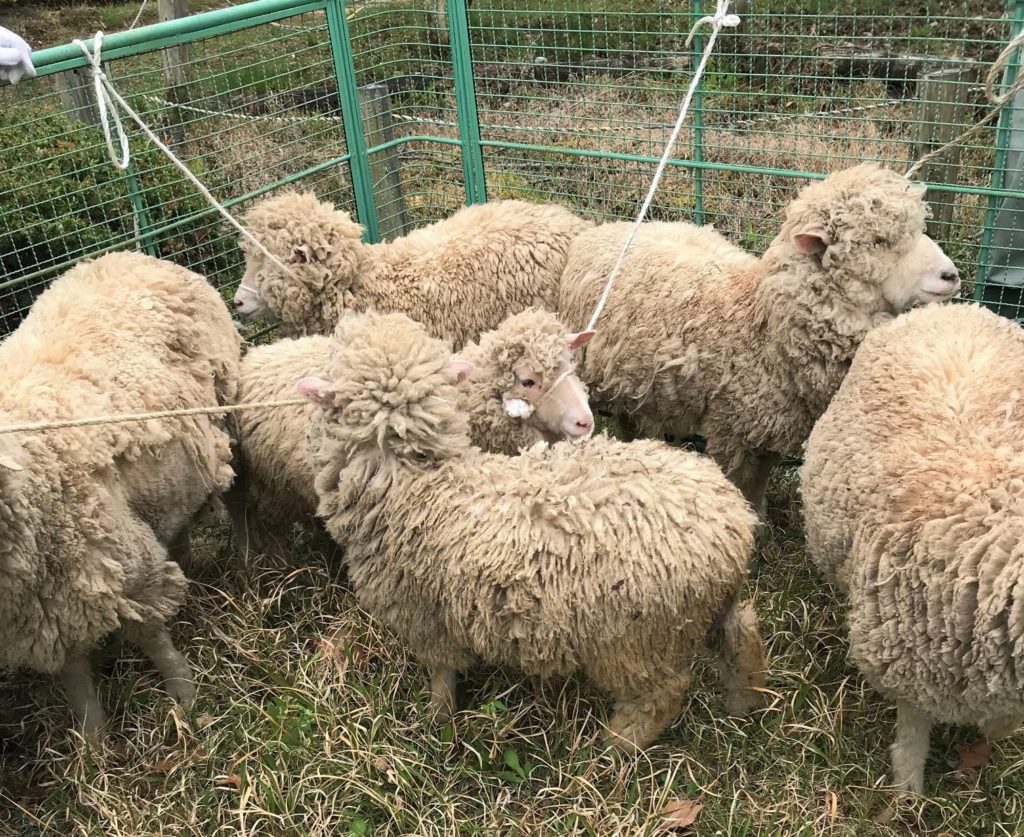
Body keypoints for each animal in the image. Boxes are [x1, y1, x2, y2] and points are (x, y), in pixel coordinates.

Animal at [0, 251, 240, 734]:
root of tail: (131, 255)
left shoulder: (123, 562)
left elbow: (150, 634)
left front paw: (184, 696)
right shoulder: (54, 601)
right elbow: (73, 672)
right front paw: (92, 739)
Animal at [297, 309, 766, 752]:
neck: (417, 482)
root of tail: (735, 524)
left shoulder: (424, 616)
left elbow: (442, 673)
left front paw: (437, 723)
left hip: (639, 639)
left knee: (660, 695)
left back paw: (611, 750)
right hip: (706, 612)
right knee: (742, 636)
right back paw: (744, 705)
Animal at [558, 163, 962, 512]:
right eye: (877, 241)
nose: (951, 276)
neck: (763, 329)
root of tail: (607, 228)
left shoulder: (771, 428)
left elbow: (761, 481)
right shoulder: (733, 430)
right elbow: (741, 484)